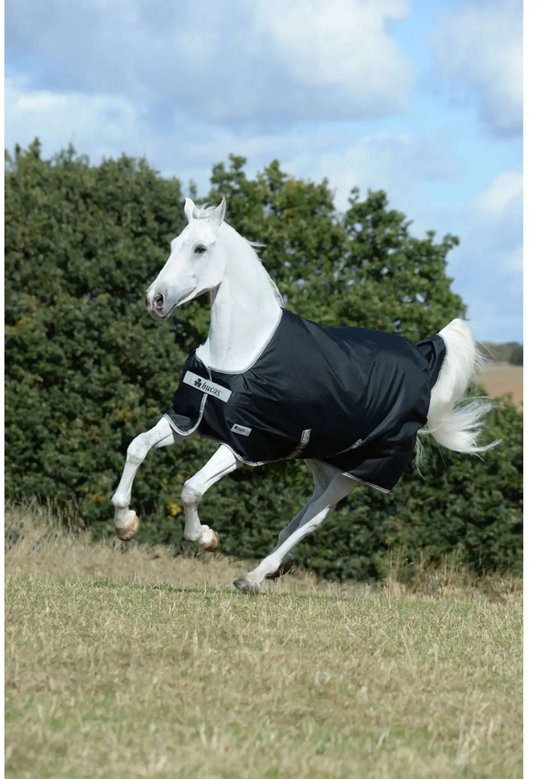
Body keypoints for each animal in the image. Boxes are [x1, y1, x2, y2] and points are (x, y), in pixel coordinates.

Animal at [111, 197, 497, 593]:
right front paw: (126, 524)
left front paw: (205, 538)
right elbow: (137, 447)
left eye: (200, 248)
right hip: (323, 460)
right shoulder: (188, 419)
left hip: (357, 472)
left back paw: (255, 576)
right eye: (174, 244)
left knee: (315, 518)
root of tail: (422, 360)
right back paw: (277, 566)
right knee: (306, 514)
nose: (155, 300)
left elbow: (190, 488)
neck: (239, 352)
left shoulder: (242, 444)